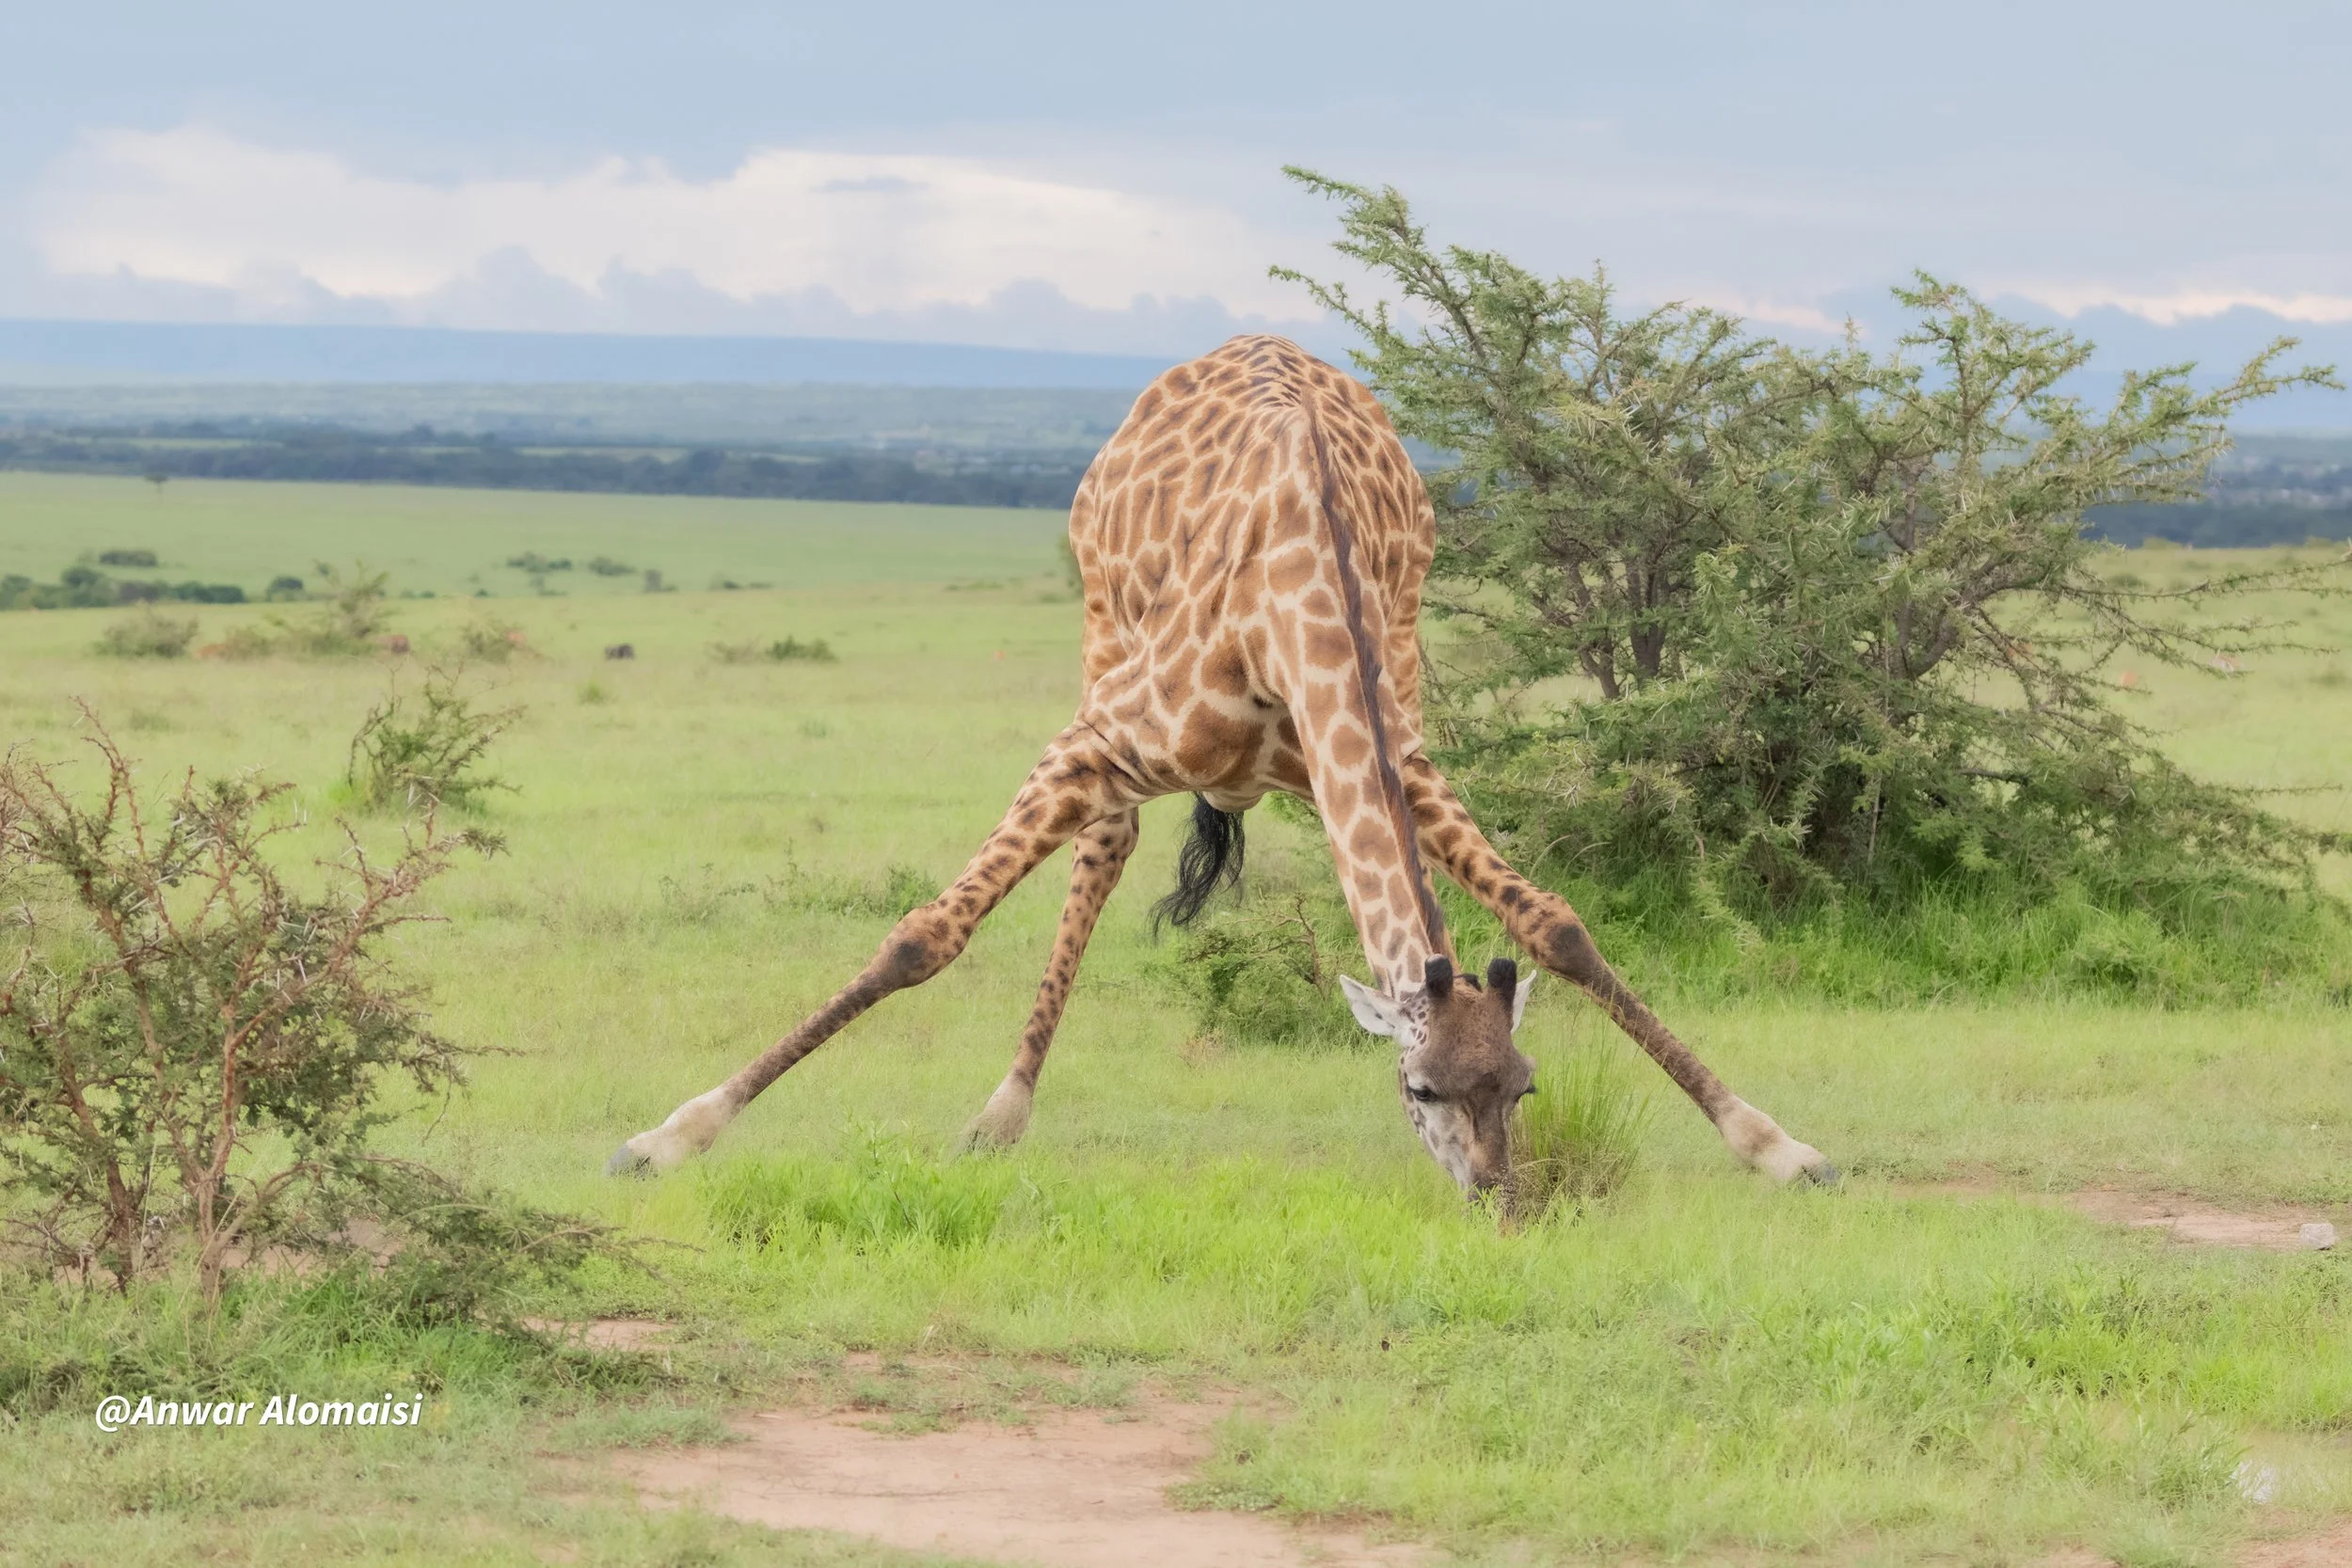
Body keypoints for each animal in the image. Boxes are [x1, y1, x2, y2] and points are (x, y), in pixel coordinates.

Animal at [609, 336, 1835, 1194]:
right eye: (1421, 1084)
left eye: (1523, 1085)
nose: (1501, 1195)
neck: (1298, 608)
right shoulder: (1093, 743)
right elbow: (922, 937)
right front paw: (670, 1135)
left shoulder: (1401, 759)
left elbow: (1560, 924)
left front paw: (1777, 1143)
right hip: (1098, 624)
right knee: (1104, 844)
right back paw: (1004, 1109)